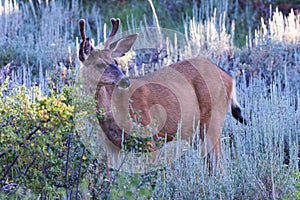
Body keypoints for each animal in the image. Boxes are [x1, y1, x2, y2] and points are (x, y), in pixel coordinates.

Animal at [78, 18, 246, 174]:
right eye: (99, 64)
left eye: (115, 61)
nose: (124, 80)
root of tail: (229, 77)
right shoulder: (112, 146)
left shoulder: (151, 137)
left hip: (213, 120)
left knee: (219, 166)